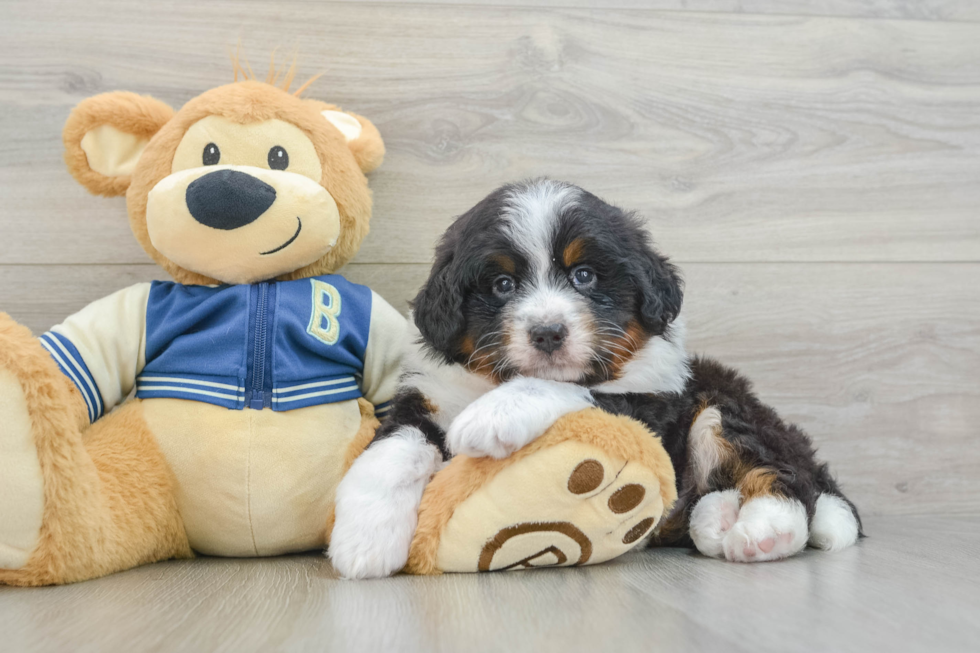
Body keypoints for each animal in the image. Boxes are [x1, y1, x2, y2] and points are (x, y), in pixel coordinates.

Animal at [332, 177, 864, 576]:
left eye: (584, 276)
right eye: (502, 284)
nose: (548, 333)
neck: (491, 380)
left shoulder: (649, 402)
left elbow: (570, 386)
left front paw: (495, 415)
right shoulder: (429, 395)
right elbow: (392, 449)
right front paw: (363, 539)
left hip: (721, 405)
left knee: (783, 473)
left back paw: (766, 530)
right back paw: (716, 518)